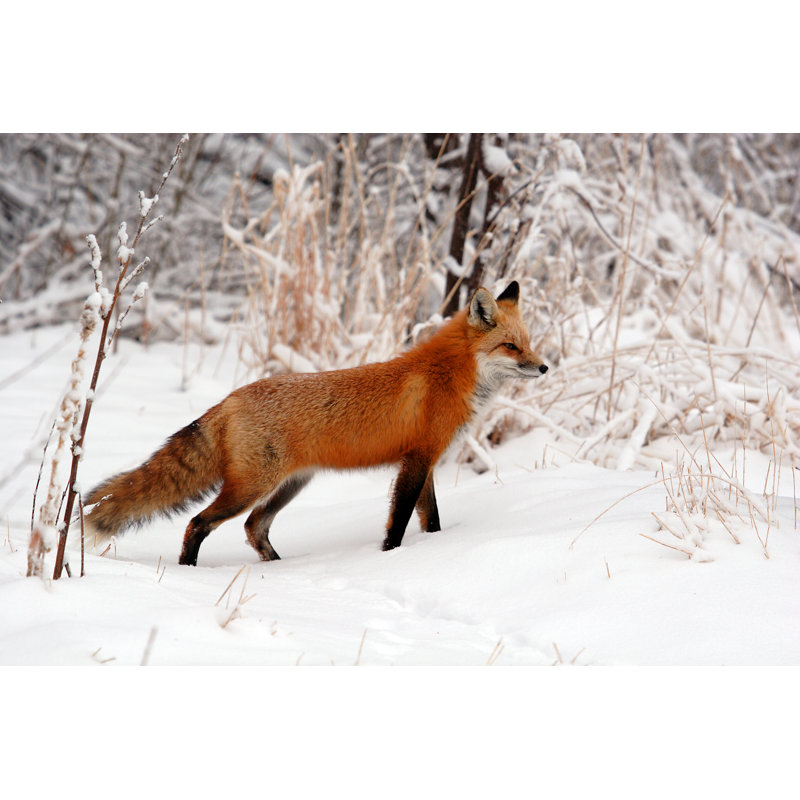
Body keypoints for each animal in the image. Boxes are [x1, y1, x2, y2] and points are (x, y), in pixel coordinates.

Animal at [83, 281, 548, 566]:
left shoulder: (426, 461)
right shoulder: (416, 461)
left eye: (528, 343)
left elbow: (429, 520)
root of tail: (229, 399)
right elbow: (398, 523)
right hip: (250, 487)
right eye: (510, 347)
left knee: (254, 527)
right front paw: (390, 557)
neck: (447, 376)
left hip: (290, 485)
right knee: (199, 523)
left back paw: (276, 568)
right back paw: (187, 570)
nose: (544, 367)